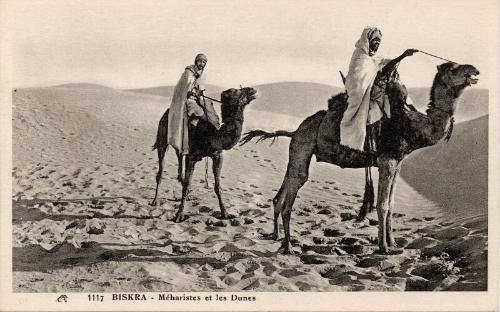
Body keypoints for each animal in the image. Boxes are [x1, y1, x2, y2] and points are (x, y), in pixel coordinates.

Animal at [151, 86, 258, 223]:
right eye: (236, 91)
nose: (252, 90)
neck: (212, 135)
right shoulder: (191, 157)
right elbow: (187, 184)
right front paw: (179, 215)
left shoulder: (217, 155)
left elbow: (218, 186)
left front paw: (225, 213)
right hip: (163, 139)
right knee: (161, 170)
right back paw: (155, 201)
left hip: (180, 147)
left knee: (179, 164)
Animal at [240, 62, 478, 254]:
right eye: (454, 69)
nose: (475, 70)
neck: (411, 125)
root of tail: (295, 131)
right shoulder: (387, 160)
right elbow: (382, 205)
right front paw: (383, 248)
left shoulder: (398, 162)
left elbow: (392, 204)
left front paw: (394, 243)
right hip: (302, 149)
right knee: (291, 196)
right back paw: (289, 247)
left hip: (296, 153)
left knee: (281, 193)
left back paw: (277, 236)